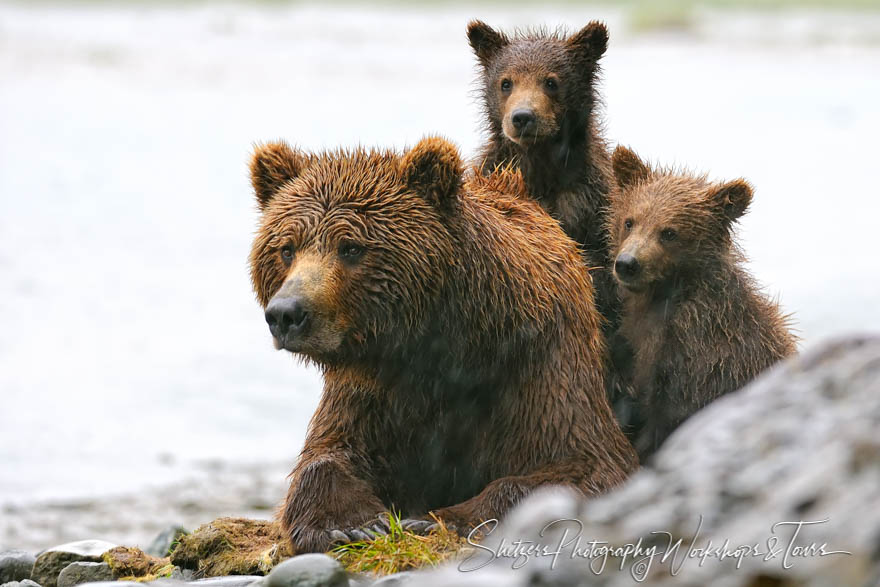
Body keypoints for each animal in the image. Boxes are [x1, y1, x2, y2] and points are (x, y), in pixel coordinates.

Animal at [248, 136, 640, 552]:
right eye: (287, 248)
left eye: (351, 247)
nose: (287, 313)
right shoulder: (374, 390)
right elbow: (328, 456)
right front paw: (352, 525)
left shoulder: (540, 359)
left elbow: (583, 463)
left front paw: (439, 519)